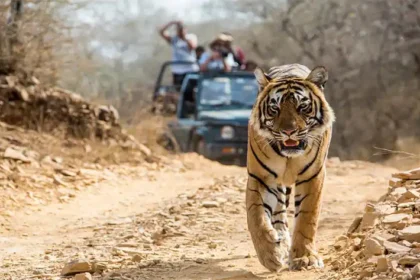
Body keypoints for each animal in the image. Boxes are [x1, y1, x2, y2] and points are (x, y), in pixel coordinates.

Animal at [246, 63, 334, 272]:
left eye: (302, 107)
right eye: (274, 108)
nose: (288, 131)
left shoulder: (313, 176)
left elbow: (307, 219)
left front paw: (305, 258)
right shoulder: (260, 177)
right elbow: (256, 216)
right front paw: (270, 255)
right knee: (279, 213)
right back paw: (281, 241)